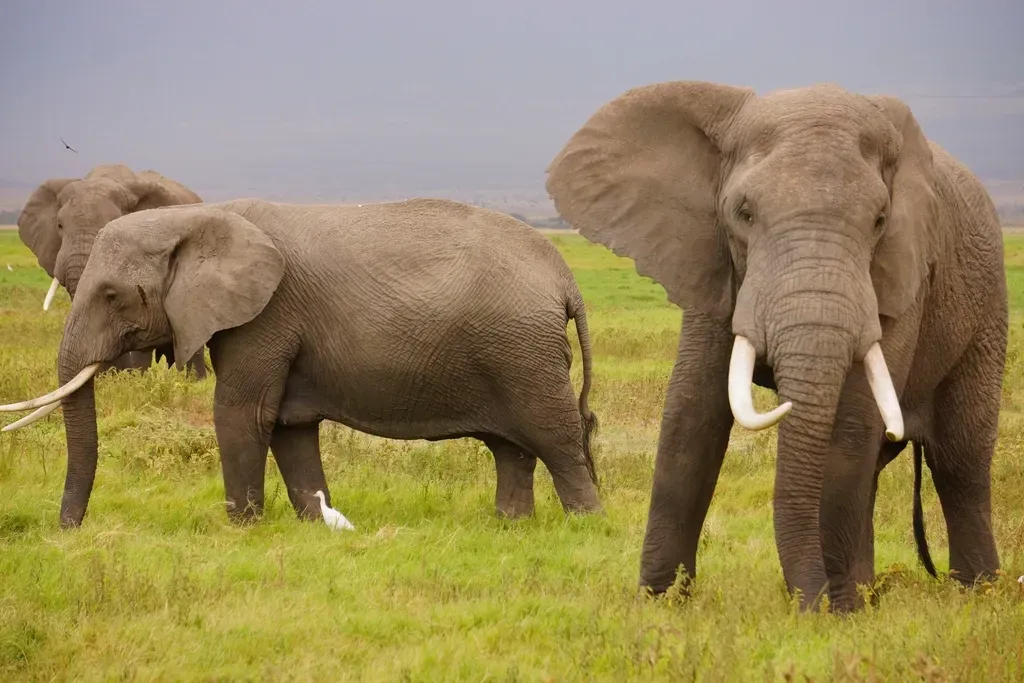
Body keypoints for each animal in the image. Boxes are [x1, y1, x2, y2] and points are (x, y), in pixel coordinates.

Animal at [0, 198, 602, 529]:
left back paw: (586, 525)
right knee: (512, 447)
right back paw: (510, 526)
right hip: (512, 349)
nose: (67, 531)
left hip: (522, 352)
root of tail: (567, 280)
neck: (197, 219)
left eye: (110, 296)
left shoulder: (265, 315)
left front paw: (241, 529)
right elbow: (289, 425)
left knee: (555, 436)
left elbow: (242, 413)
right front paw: (317, 523)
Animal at [546, 80, 1007, 612]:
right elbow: (691, 413)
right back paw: (876, 594)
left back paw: (976, 593)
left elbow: (852, 422)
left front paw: (836, 613)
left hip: (988, 307)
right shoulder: (710, 259)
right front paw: (658, 603)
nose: (810, 602)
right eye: (743, 214)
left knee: (959, 460)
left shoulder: (902, 277)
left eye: (880, 220)